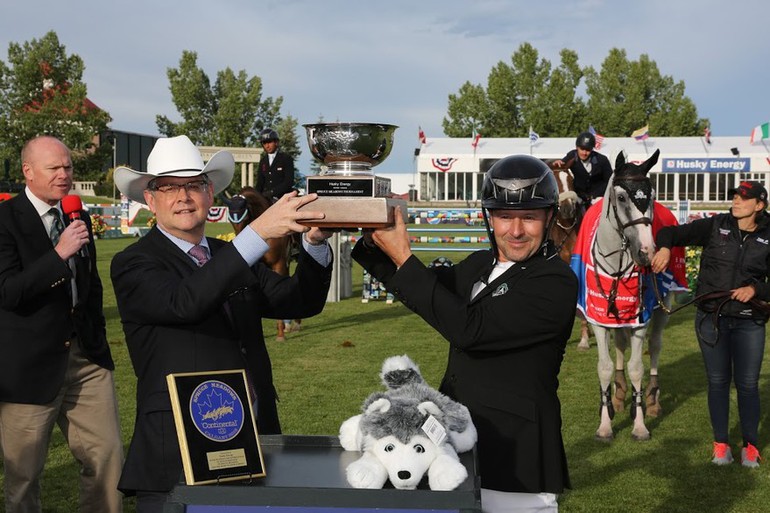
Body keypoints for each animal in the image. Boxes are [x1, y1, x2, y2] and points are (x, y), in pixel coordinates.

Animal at [568, 148, 660, 440]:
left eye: (652, 195)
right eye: (621, 197)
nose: (646, 252)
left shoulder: (641, 319)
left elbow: (637, 367)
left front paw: (640, 424)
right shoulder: (598, 318)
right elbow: (605, 367)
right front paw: (605, 423)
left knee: (655, 346)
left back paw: (651, 399)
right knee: (619, 345)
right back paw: (617, 397)